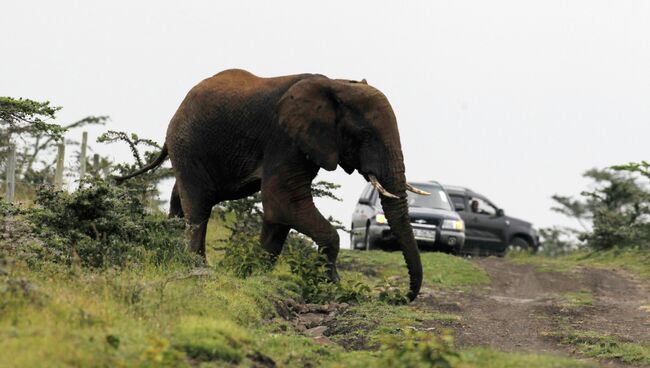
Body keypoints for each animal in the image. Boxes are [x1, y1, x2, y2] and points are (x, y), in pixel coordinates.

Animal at [117, 69, 426, 302]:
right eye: (364, 135)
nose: (398, 298)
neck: (334, 83)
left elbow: (280, 213)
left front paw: (248, 272)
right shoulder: (284, 139)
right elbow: (283, 202)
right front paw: (334, 286)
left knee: (181, 197)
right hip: (188, 143)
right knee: (199, 206)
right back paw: (197, 266)